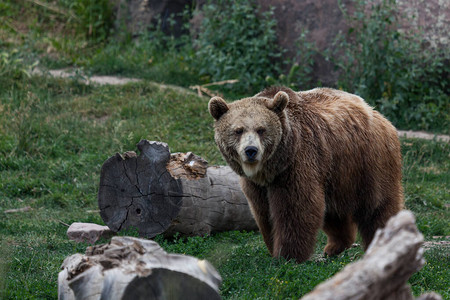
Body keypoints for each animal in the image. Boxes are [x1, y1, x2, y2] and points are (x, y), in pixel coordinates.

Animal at [208, 86, 404, 262]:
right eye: (238, 130)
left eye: (261, 129)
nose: (251, 151)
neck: (272, 168)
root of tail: (378, 115)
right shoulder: (257, 185)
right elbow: (264, 213)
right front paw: (273, 247)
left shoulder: (296, 165)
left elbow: (296, 210)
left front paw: (287, 256)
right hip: (335, 173)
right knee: (333, 212)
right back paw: (335, 246)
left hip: (368, 161)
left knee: (377, 205)